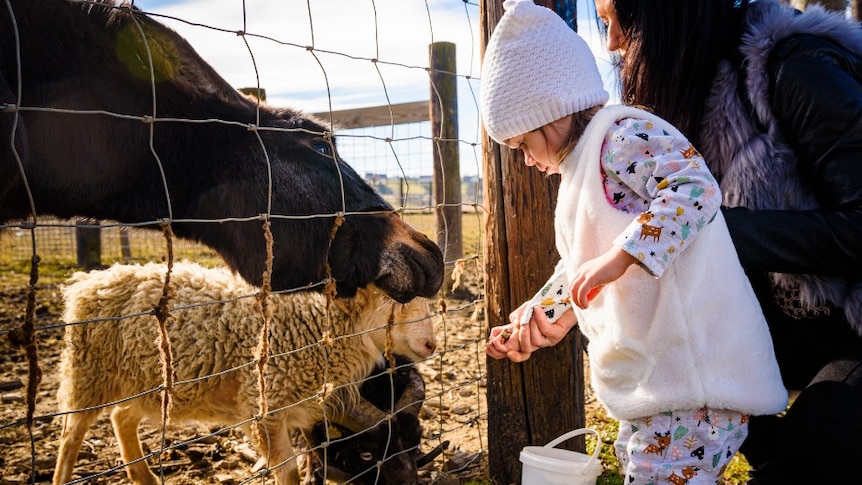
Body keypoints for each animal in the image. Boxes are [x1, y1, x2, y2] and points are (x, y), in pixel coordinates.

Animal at [52, 260, 438, 484]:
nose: (432, 344)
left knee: (121, 417)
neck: (318, 325)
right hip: (89, 372)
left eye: (416, 444)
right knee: (71, 434)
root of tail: (91, 280)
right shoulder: (264, 406)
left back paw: (144, 477)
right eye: (369, 455)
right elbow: (288, 471)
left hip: (145, 382)